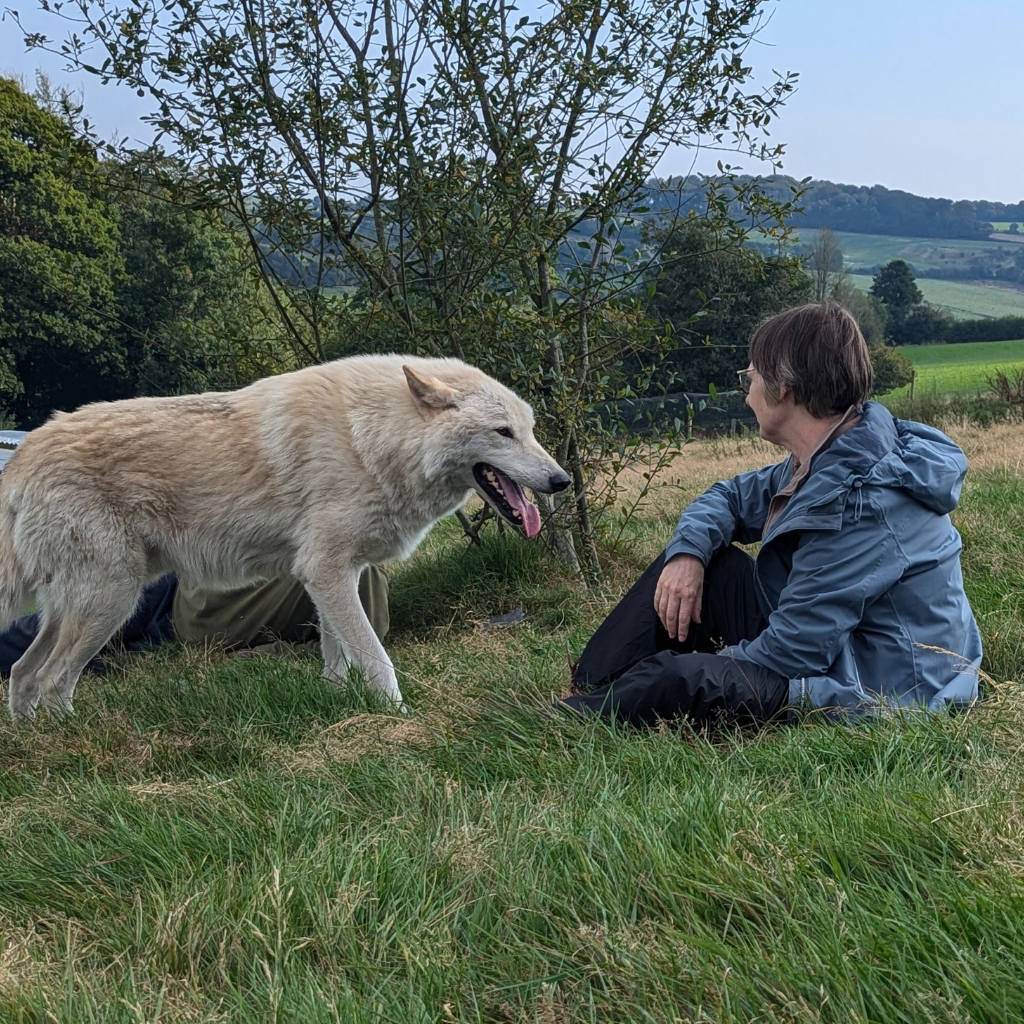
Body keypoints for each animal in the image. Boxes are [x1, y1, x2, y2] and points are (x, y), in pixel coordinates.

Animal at [0, 355, 570, 720]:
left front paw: (340, 702)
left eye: (530, 430)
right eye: (502, 433)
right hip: (110, 603)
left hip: (79, 608)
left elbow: (337, 656)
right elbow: (376, 657)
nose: (562, 480)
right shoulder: (327, 570)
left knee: (23, 675)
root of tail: (23, 455)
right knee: (52, 681)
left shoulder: (334, 576)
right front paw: (399, 716)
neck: (371, 438)